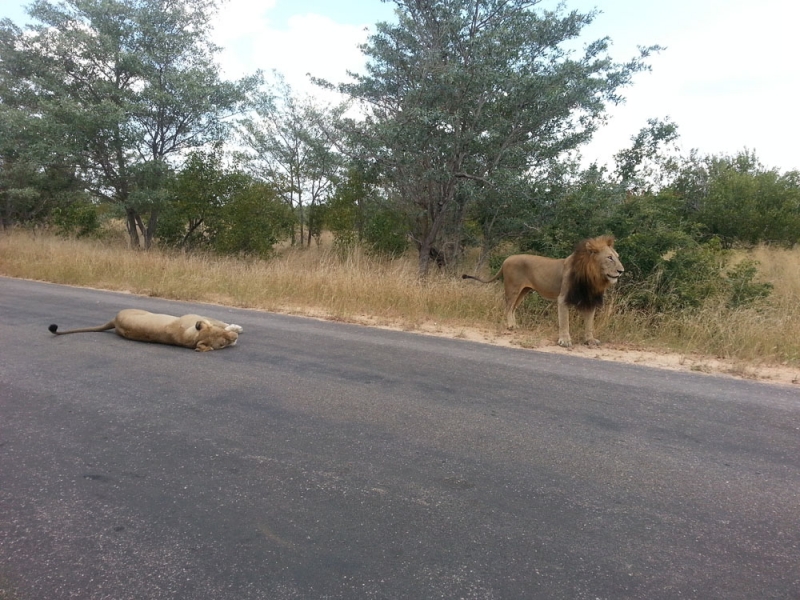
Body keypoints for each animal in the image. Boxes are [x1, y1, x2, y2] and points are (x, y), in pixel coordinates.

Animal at [462, 236, 624, 346]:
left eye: (617, 257)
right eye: (609, 258)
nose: (622, 271)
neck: (593, 276)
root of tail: (506, 260)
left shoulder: (589, 300)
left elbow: (589, 323)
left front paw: (590, 340)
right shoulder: (563, 298)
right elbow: (564, 321)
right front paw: (564, 341)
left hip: (523, 291)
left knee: (513, 308)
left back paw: (514, 325)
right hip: (513, 288)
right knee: (508, 307)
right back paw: (510, 326)